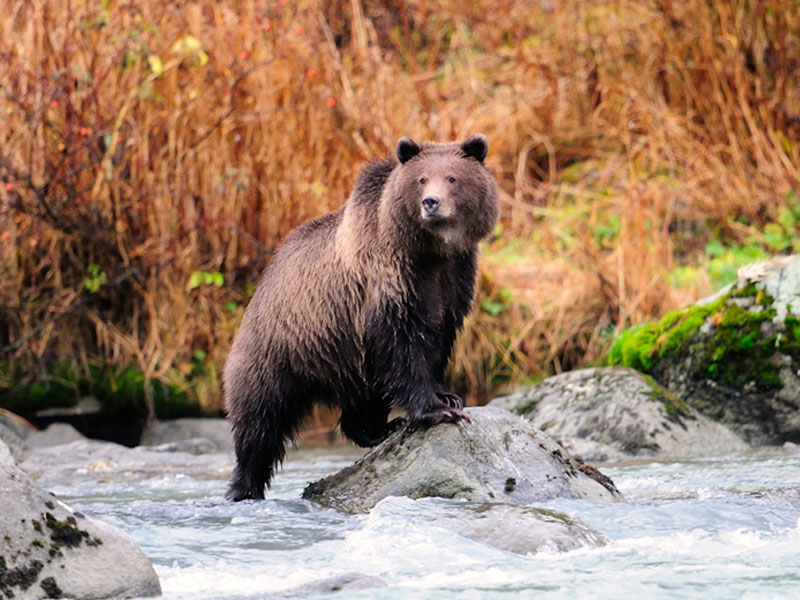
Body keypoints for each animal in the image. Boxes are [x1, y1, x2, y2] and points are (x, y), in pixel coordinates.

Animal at [225, 135, 496, 502]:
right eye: (422, 179)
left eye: (453, 178)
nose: (431, 202)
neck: (431, 251)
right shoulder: (391, 280)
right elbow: (401, 345)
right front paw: (438, 408)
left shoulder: (453, 280)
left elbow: (437, 340)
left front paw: (448, 395)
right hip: (279, 350)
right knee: (259, 423)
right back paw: (243, 488)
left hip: (345, 359)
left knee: (364, 396)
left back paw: (378, 429)